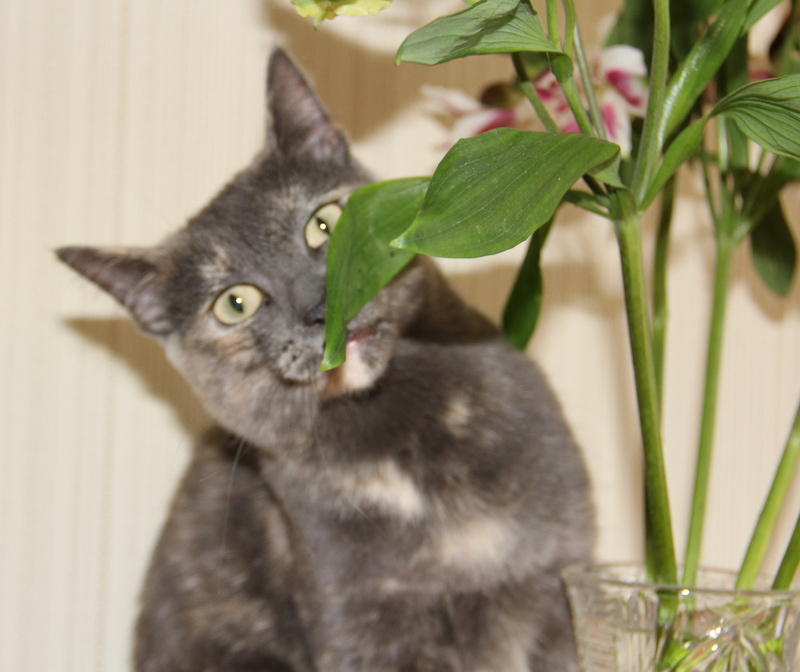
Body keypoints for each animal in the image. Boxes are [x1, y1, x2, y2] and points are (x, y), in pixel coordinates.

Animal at [57, 48, 595, 672]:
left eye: (324, 223)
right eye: (235, 303)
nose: (319, 309)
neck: (401, 448)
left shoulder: (558, 583)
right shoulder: (356, 626)